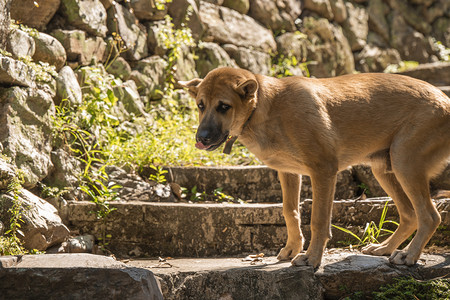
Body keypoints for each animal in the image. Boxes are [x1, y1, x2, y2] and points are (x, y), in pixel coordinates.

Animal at [179, 67, 450, 268]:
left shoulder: (324, 170)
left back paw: (409, 256)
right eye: (201, 105)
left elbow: (318, 220)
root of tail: (445, 99)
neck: (266, 107)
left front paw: (311, 257)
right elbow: (290, 212)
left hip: (405, 162)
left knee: (430, 216)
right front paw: (292, 248)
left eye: (224, 106)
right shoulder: (288, 172)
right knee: (410, 215)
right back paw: (386, 248)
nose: (201, 139)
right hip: (384, 168)